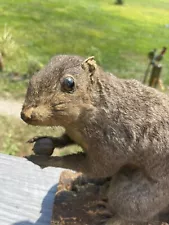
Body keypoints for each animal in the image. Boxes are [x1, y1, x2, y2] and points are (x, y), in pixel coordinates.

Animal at [20, 55, 169, 225]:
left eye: (69, 83)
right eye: (36, 73)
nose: (25, 114)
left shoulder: (113, 144)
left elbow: (92, 166)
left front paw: (44, 160)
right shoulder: (73, 134)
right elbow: (64, 140)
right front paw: (45, 140)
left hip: (138, 194)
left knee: (133, 213)